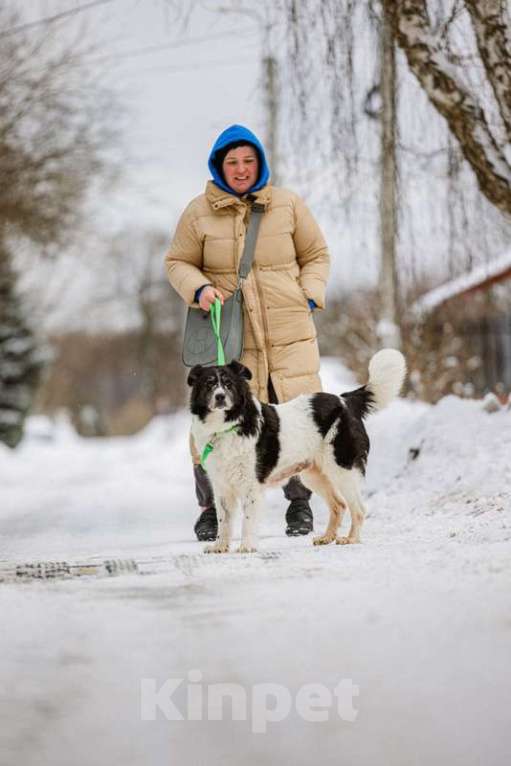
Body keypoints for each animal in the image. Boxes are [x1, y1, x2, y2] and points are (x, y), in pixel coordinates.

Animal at [188, 352, 408, 556]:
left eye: (229, 384)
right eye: (209, 384)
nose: (220, 397)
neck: (226, 426)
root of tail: (346, 400)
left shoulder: (252, 485)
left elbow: (248, 521)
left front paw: (247, 546)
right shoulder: (222, 487)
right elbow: (223, 521)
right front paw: (220, 546)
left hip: (342, 469)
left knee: (359, 509)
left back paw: (351, 539)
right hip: (314, 475)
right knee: (338, 505)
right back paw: (327, 537)